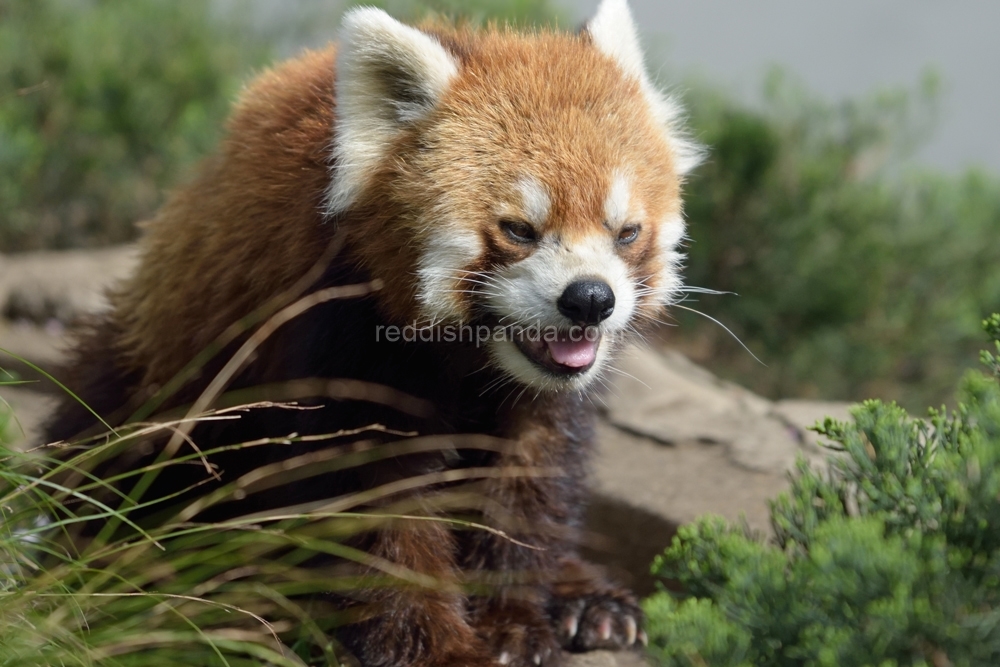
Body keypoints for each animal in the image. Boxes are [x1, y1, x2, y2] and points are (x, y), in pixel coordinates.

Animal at [47, 1, 700, 667]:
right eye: (520, 230)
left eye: (626, 232)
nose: (591, 299)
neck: (471, 362)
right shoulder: (336, 338)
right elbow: (373, 505)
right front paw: (439, 647)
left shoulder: (543, 406)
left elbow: (527, 490)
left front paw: (514, 622)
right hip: (159, 381)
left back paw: (588, 602)